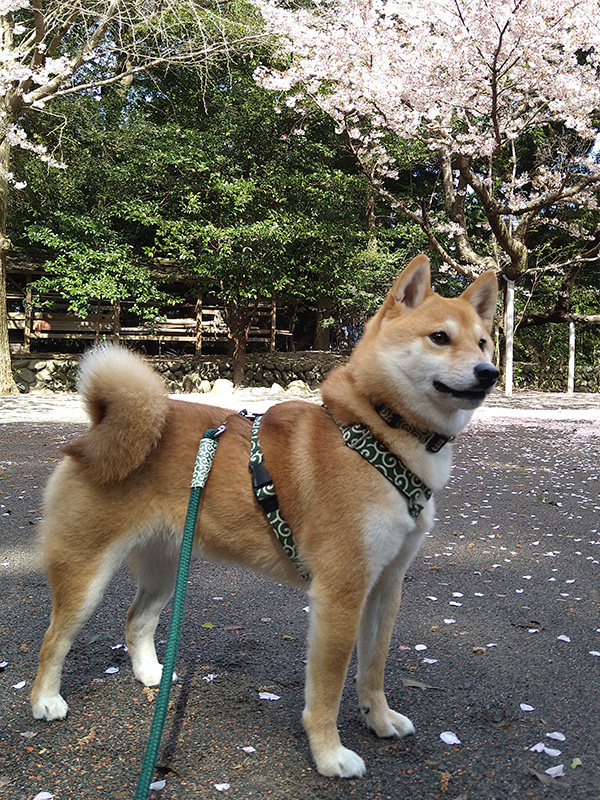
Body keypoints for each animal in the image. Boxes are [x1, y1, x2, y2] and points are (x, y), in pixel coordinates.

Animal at [30, 255, 500, 776]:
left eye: (483, 341)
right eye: (439, 337)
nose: (490, 372)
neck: (379, 434)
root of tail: (97, 429)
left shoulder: (385, 585)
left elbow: (372, 670)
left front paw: (378, 719)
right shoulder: (341, 591)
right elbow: (329, 689)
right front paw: (329, 754)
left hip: (166, 568)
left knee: (136, 620)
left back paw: (152, 674)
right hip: (86, 575)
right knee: (53, 640)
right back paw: (45, 701)